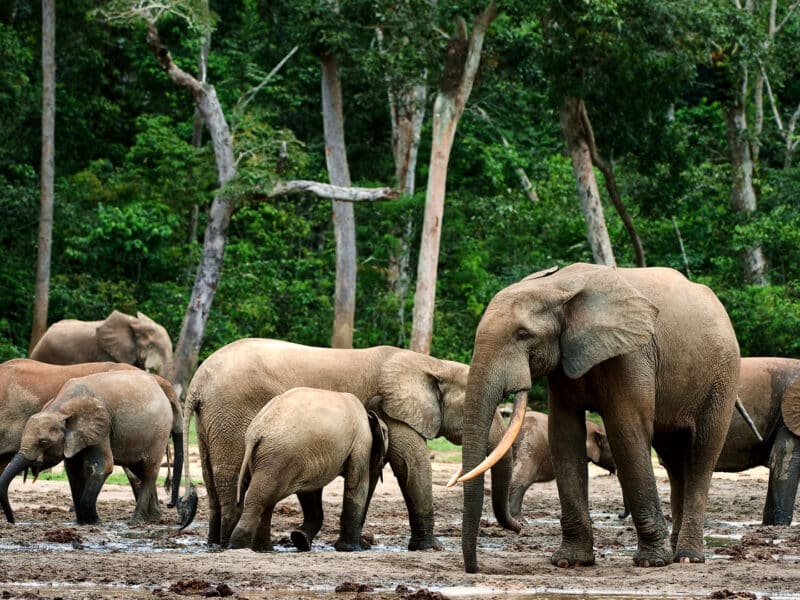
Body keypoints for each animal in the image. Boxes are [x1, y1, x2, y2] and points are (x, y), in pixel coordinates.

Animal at [0, 369, 181, 525]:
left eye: (43, 442)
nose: (12, 521)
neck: (60, 408)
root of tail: (160, 383)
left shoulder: (102, 426)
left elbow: (101, 466)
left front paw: (95, 521)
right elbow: (74, 471)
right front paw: (81, 523)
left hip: (159, 432)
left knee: (149, 471)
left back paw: (136, 520)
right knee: (139, 470)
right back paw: (153, 518)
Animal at [228, 387, 389, 552]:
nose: (366, 545)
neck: (369, 415)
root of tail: (256, 432)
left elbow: (310, 492)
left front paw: (300, 539)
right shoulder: (361, 442)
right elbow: (356, 484)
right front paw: (351, 549)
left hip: (272, 457)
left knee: (266, 497)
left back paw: (263, 549)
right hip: (281, 455)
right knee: (261, 497)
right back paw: (239, 546)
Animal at [455, 263, 740, 572]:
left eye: (522, 334)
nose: (476, 568)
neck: (558, 285)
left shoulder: (632, 354)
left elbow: (626, 430)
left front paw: (651, 562)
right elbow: (564, 434)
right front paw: (570, 562)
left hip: (723, 375)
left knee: (701, 454)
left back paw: (688, 557)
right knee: (674, 461)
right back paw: (677, 551)